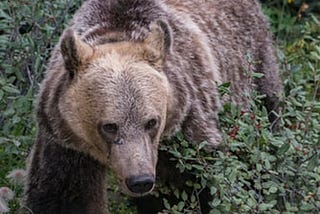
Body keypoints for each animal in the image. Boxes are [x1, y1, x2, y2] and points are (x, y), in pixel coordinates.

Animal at [23, 0, 282, 213]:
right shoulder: (65, 140)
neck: (117, 31)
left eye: (151, 122)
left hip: (255, 73)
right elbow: (64, 195)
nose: (140, 181)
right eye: (109, 126)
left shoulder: (187, 131)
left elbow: (190, 190)